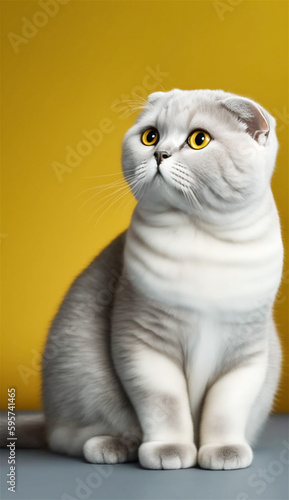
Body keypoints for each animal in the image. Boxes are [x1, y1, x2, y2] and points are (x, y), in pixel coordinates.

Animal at [2, 89, 282, 468]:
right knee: (71, 437)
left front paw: (224, 452)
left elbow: (225, 410)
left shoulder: (246, 351)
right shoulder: (143, 339)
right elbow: (165, 405)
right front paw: (169, 451)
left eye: (199, 140)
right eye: (150, 136)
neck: (202, 237)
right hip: (82, 376)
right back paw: (114, 446)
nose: (159, 153)